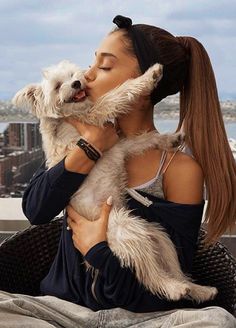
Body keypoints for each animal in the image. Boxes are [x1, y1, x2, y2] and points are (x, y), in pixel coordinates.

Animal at [12, 60, 218, 302]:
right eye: (57, 86)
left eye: (72, 75)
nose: (76, 83)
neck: (67, 118)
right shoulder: (97, 114)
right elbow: (117, 94)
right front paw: (150, 76)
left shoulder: (121, 146)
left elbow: (145, 140)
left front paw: (171, 139)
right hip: (128, 232)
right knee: (150, 275)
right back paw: (174, 289)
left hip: (160, 238)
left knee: (171, 268)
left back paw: (198, 289)